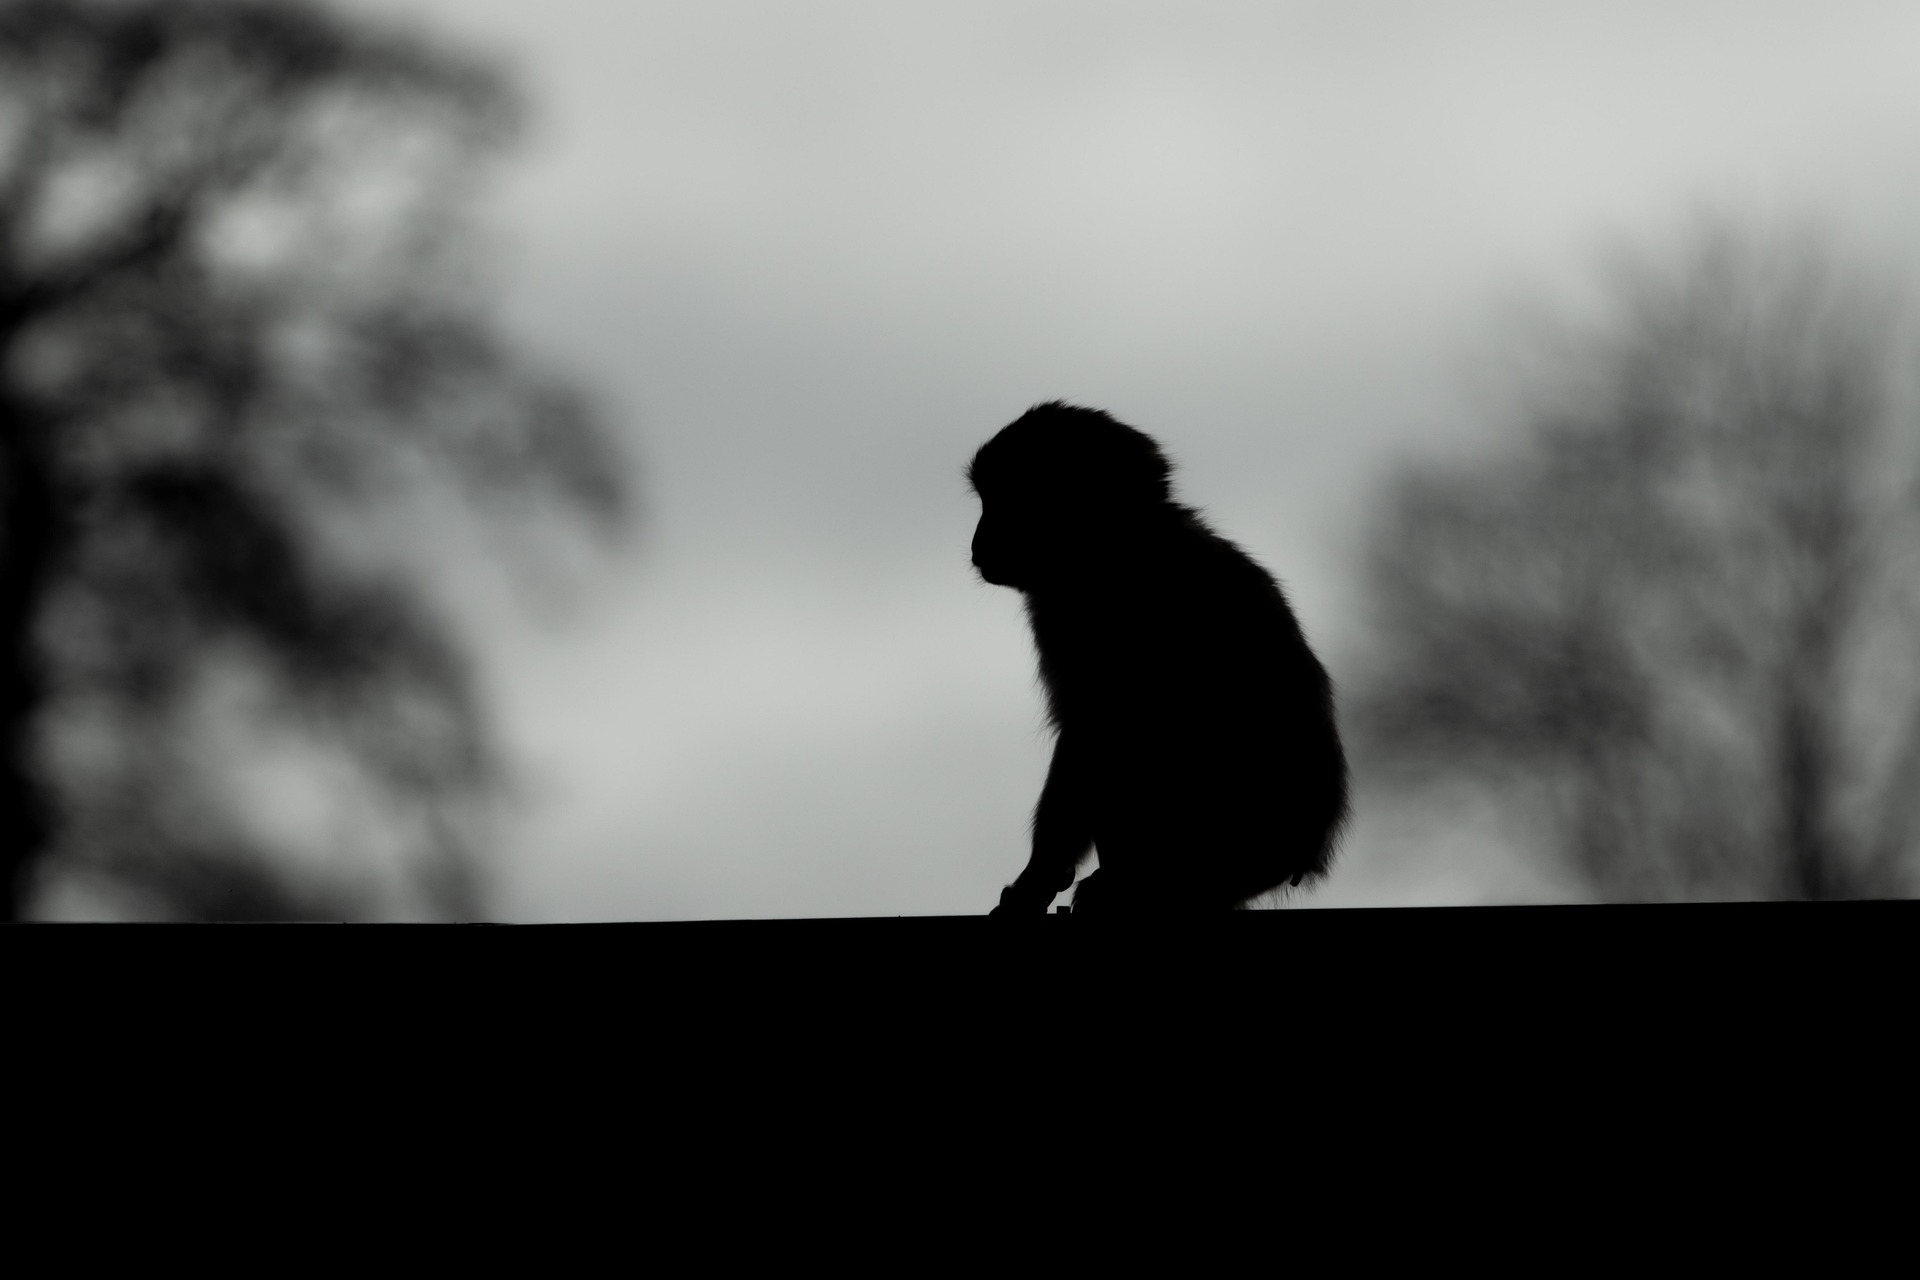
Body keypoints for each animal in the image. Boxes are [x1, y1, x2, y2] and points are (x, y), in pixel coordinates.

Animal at [969, 402, 1348, 915]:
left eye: (1006, 499)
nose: (976, 543)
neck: (1114, 546)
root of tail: (1305, 856)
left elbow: (1091, 729)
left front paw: (1039, 874)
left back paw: (1131, 884)